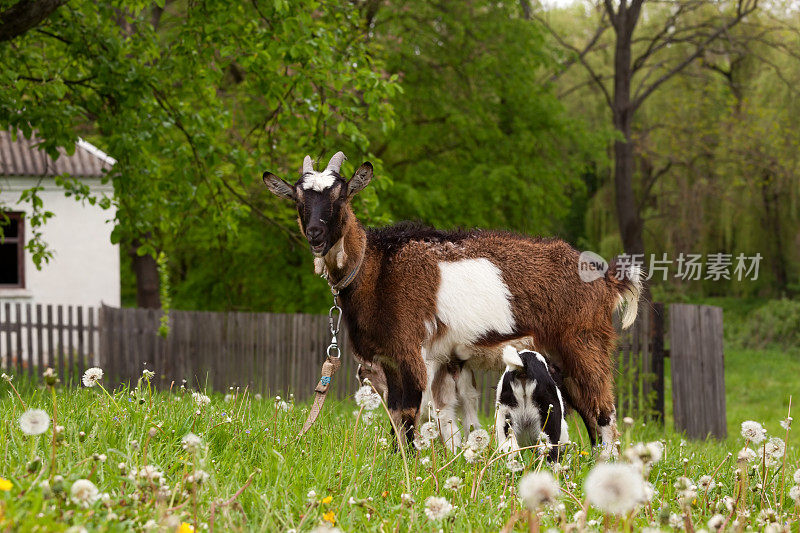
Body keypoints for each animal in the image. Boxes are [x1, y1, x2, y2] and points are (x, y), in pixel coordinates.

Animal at [266, 153, 640, 444]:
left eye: (341, 195)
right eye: (298, 199)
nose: (315, 234)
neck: (378, 268)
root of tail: (605, 280)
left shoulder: (413, 350)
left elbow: (409, 412)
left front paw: (407, 467)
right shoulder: (385, 361)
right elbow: (398, 417)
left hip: (584, 344)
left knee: (603, 413)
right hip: (560, 358)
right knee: (589, 414)